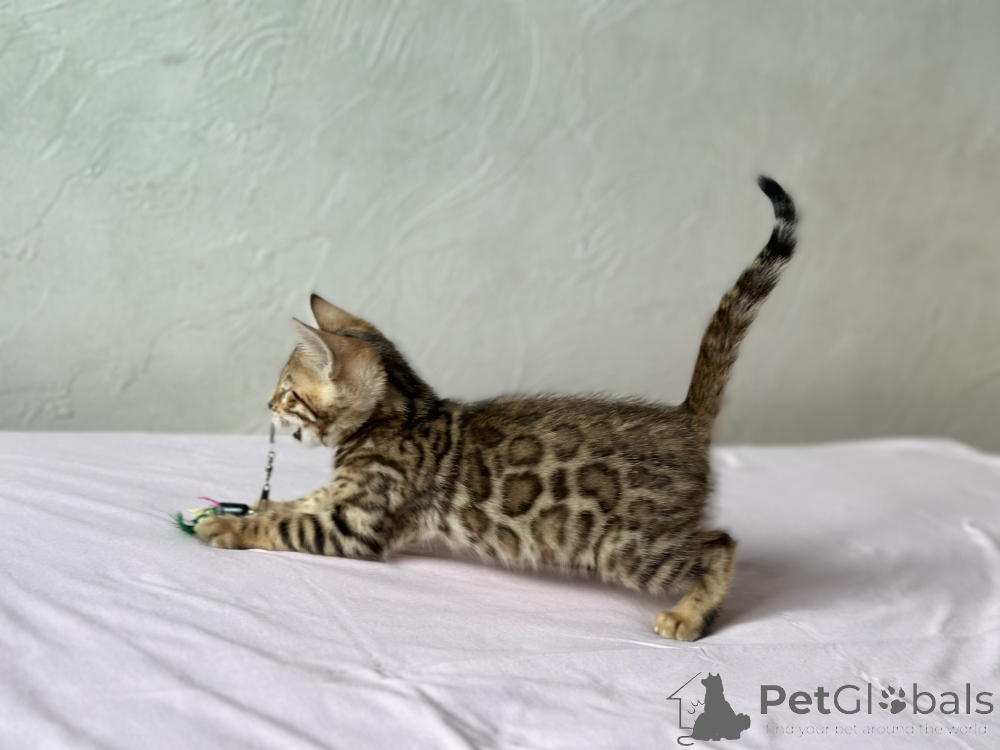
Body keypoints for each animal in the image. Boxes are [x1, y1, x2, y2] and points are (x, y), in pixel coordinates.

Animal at [195, 176, 797, 641]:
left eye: (287, 392)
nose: (266, 404)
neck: (402, 414)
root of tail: (684, 417)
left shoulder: (361, 524)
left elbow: (294, 527)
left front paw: (234, 527)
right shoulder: (345, 495)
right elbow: (305, 500)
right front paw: (260, 505)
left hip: (628, 547)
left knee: (720, 545)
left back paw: (690, 615)